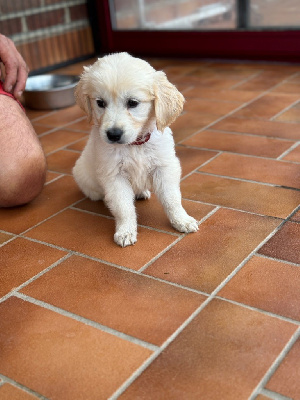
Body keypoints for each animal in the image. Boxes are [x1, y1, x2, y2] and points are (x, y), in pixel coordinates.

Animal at [72, 52, 198, 247]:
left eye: (132, 103)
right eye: (100, 102)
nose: (113, 134)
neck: (134, 146)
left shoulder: (164, 167)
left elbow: (172, 199)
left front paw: (182, 220)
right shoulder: (114, 176)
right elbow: (123, 207)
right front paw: (125, 231)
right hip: (84, 176)